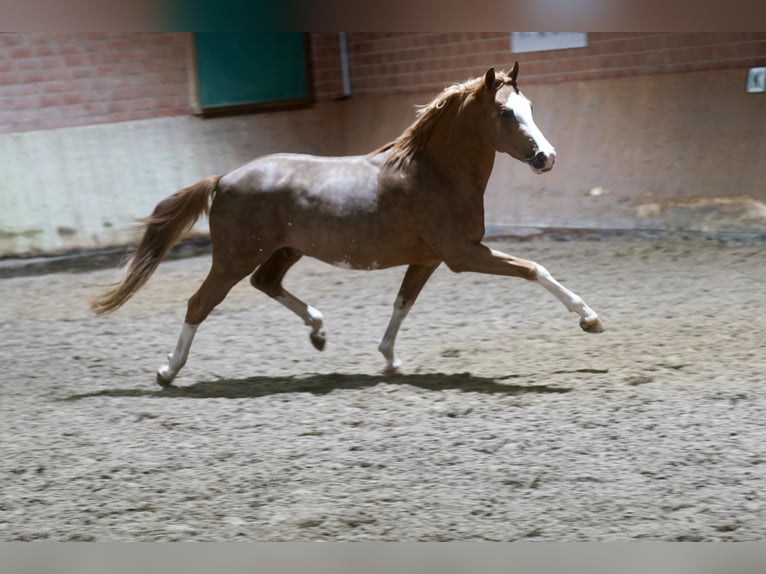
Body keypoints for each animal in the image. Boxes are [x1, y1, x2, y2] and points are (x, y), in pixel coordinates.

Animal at [93, 63, 604, 388]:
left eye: (530, 107)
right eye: (505, 112)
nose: (546, 157)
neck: (433, 173)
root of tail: (223, 178)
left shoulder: (429, 259)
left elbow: (402, 303)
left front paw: (390, 359)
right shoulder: (463, 255)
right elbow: (535, 268)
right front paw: (590, 319)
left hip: (282, 251)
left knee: (266, 284)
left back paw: (318, 332)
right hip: (235, 257)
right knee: (199, 303)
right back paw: (168, 372)